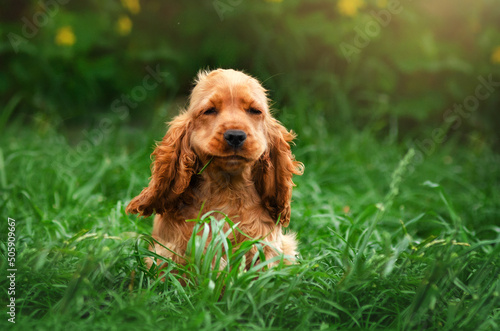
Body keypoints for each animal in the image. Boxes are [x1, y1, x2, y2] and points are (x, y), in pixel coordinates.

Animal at [127, 68, 302, 272]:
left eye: (255, 111)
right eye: (210, 110)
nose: (235, 136)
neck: (227, 188)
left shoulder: (268, 248)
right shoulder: (169, 251)